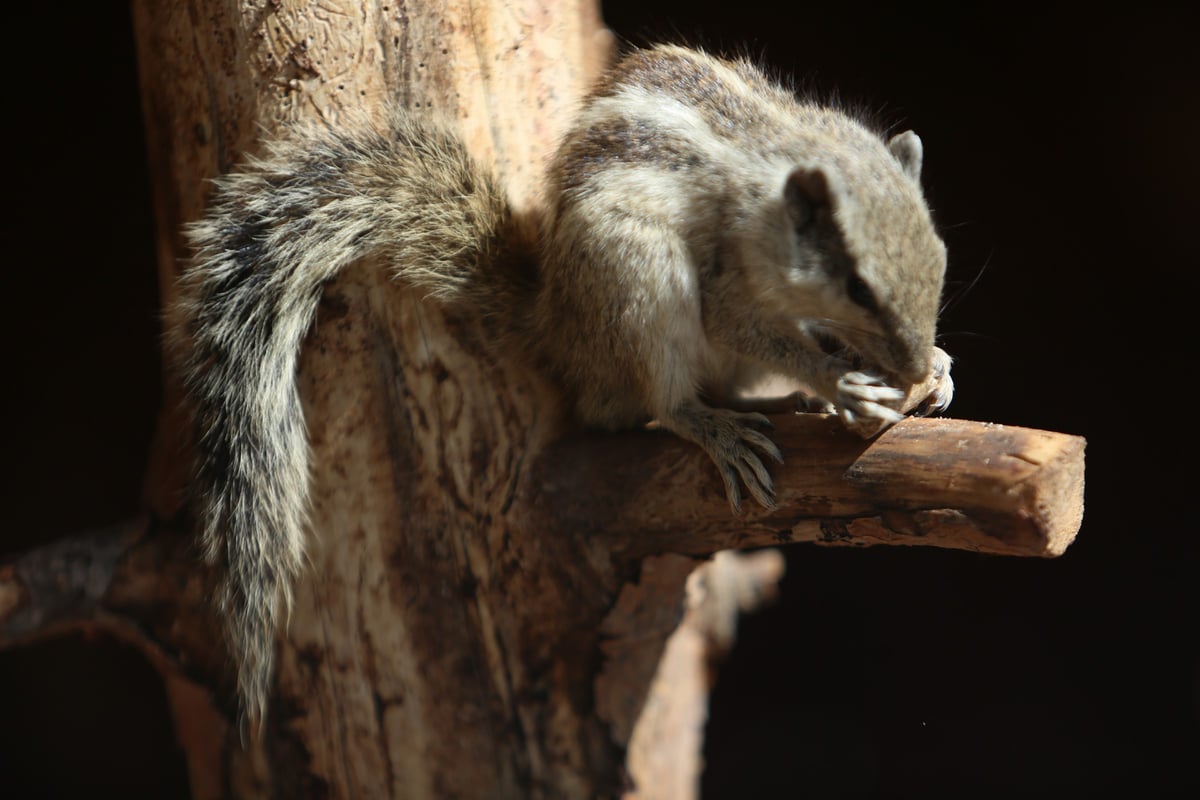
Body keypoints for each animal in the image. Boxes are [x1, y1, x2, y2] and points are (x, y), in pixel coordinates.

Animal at [171, 42, 955, 719]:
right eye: (858, 286)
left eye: (940, 252)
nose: (913, 364)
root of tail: (557, 325)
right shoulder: (731, 283)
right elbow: (752, 331)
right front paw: (842, 383)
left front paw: (937, 371)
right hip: (638, 277)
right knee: (661, 402)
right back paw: (718, 429)